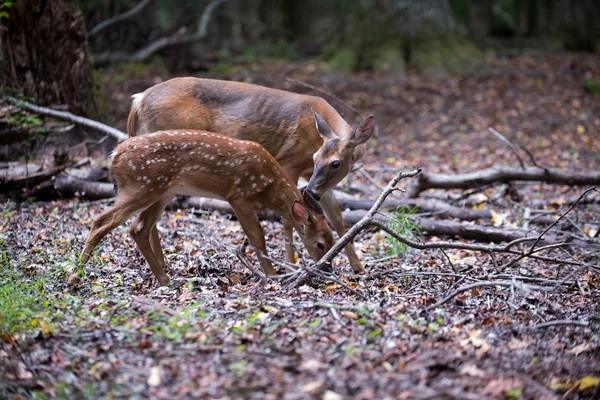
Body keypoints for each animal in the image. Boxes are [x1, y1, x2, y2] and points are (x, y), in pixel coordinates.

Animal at [79, 130, 332, 286]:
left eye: (331, 239)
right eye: (320, 243)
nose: (328, 269)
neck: (268, 187)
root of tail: (115, 154)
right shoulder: (238, 196)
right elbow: (257, 236)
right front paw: (271, 275)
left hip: (162, 192)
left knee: (137, 228)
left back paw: (164, 279)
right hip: (140, 187)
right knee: (101, 222)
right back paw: (75, 276)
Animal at [127, 76, 376, 274]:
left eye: (335, 163)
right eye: (317, 158)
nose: (312, 193)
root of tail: (139, 100)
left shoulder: (321, 183)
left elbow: (338, 219)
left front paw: (359, 268)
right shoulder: (289, 163)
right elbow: (288, 219)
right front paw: (289, 265)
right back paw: (161, 264)